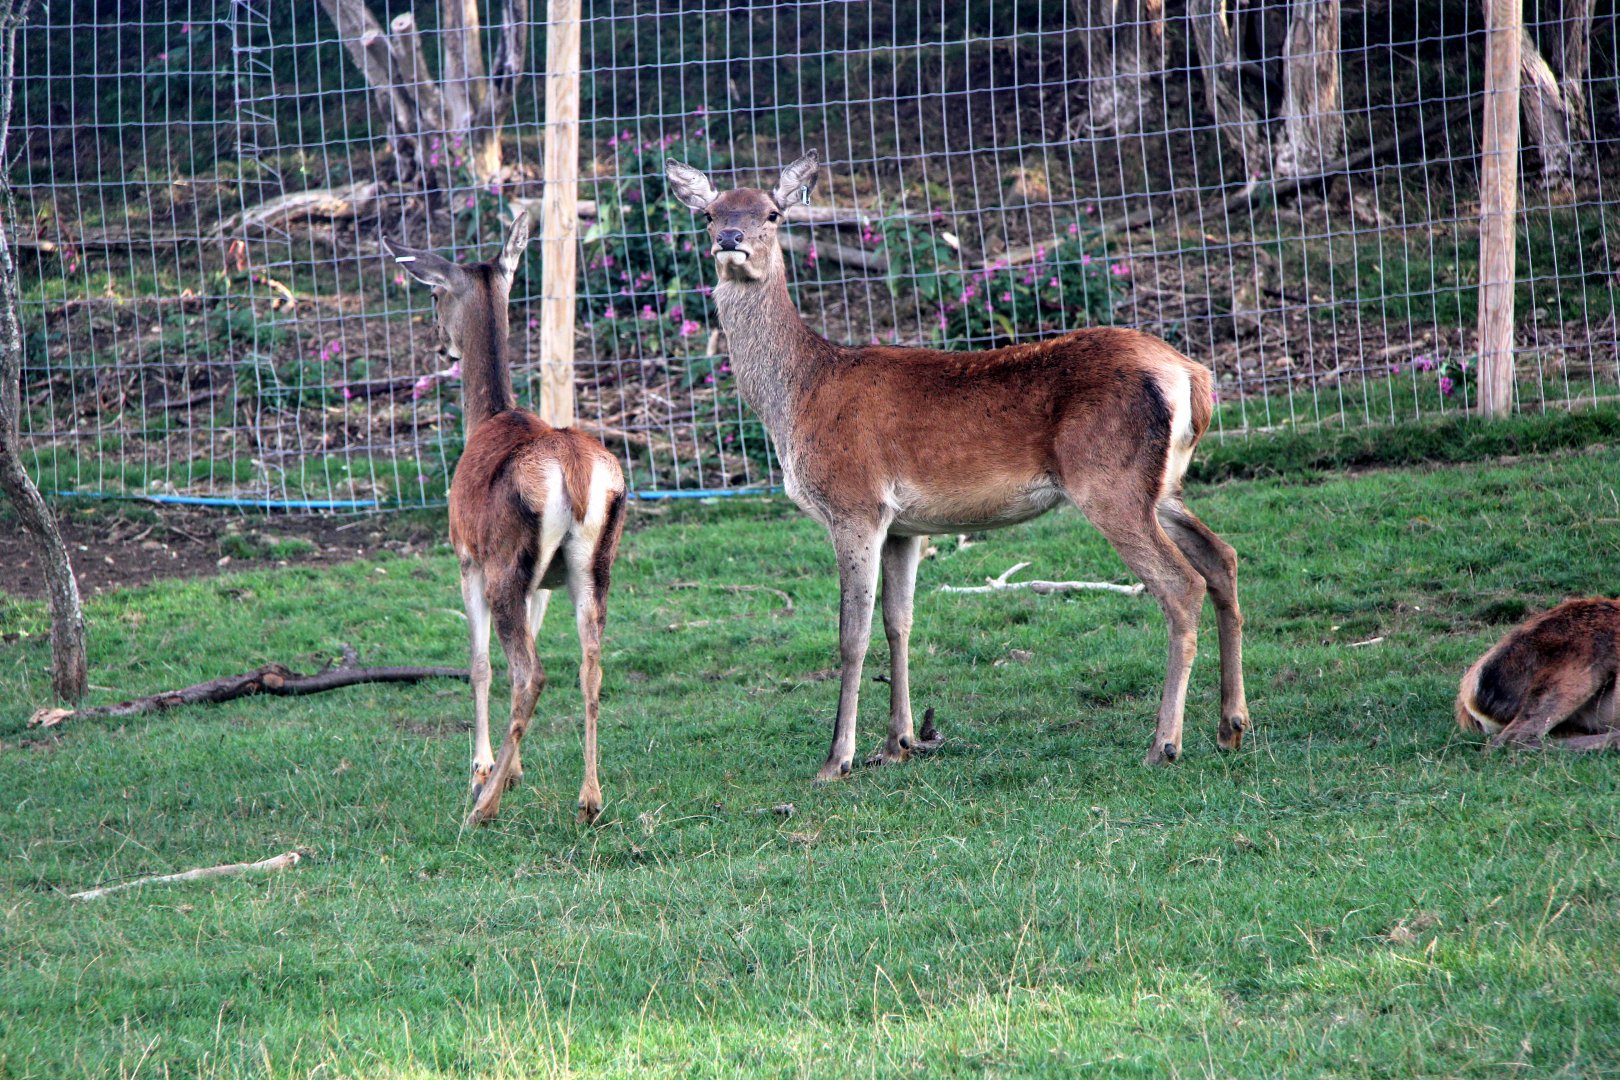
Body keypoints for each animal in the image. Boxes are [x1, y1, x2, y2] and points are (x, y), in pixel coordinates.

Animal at [385, 214, 628, 824]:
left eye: (433, 293)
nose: (440, 345)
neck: (488, 415)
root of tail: (574, 470)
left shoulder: (466, 557)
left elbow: (478, 663)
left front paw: (484, 769)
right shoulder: (542, 581)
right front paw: (512, 769)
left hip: (503, 565)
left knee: (529, 671)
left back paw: (484, 807)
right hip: (593, 564)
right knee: (591, 664)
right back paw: (590, 797)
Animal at [664, 151, 1250, 782]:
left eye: (772, 214)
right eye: (708, 213)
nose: (730, 239)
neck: (798, 397)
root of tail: (1193, 376)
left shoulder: (854, 503)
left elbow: (852, 633)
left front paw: (837, 758)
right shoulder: (903, 525)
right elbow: (898, 622)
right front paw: (897, 742)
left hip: (1108, 481)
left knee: (1180, 584)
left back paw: (1164, 743)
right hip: (1162, 486)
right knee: (1223, 558)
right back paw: (1231, 726)